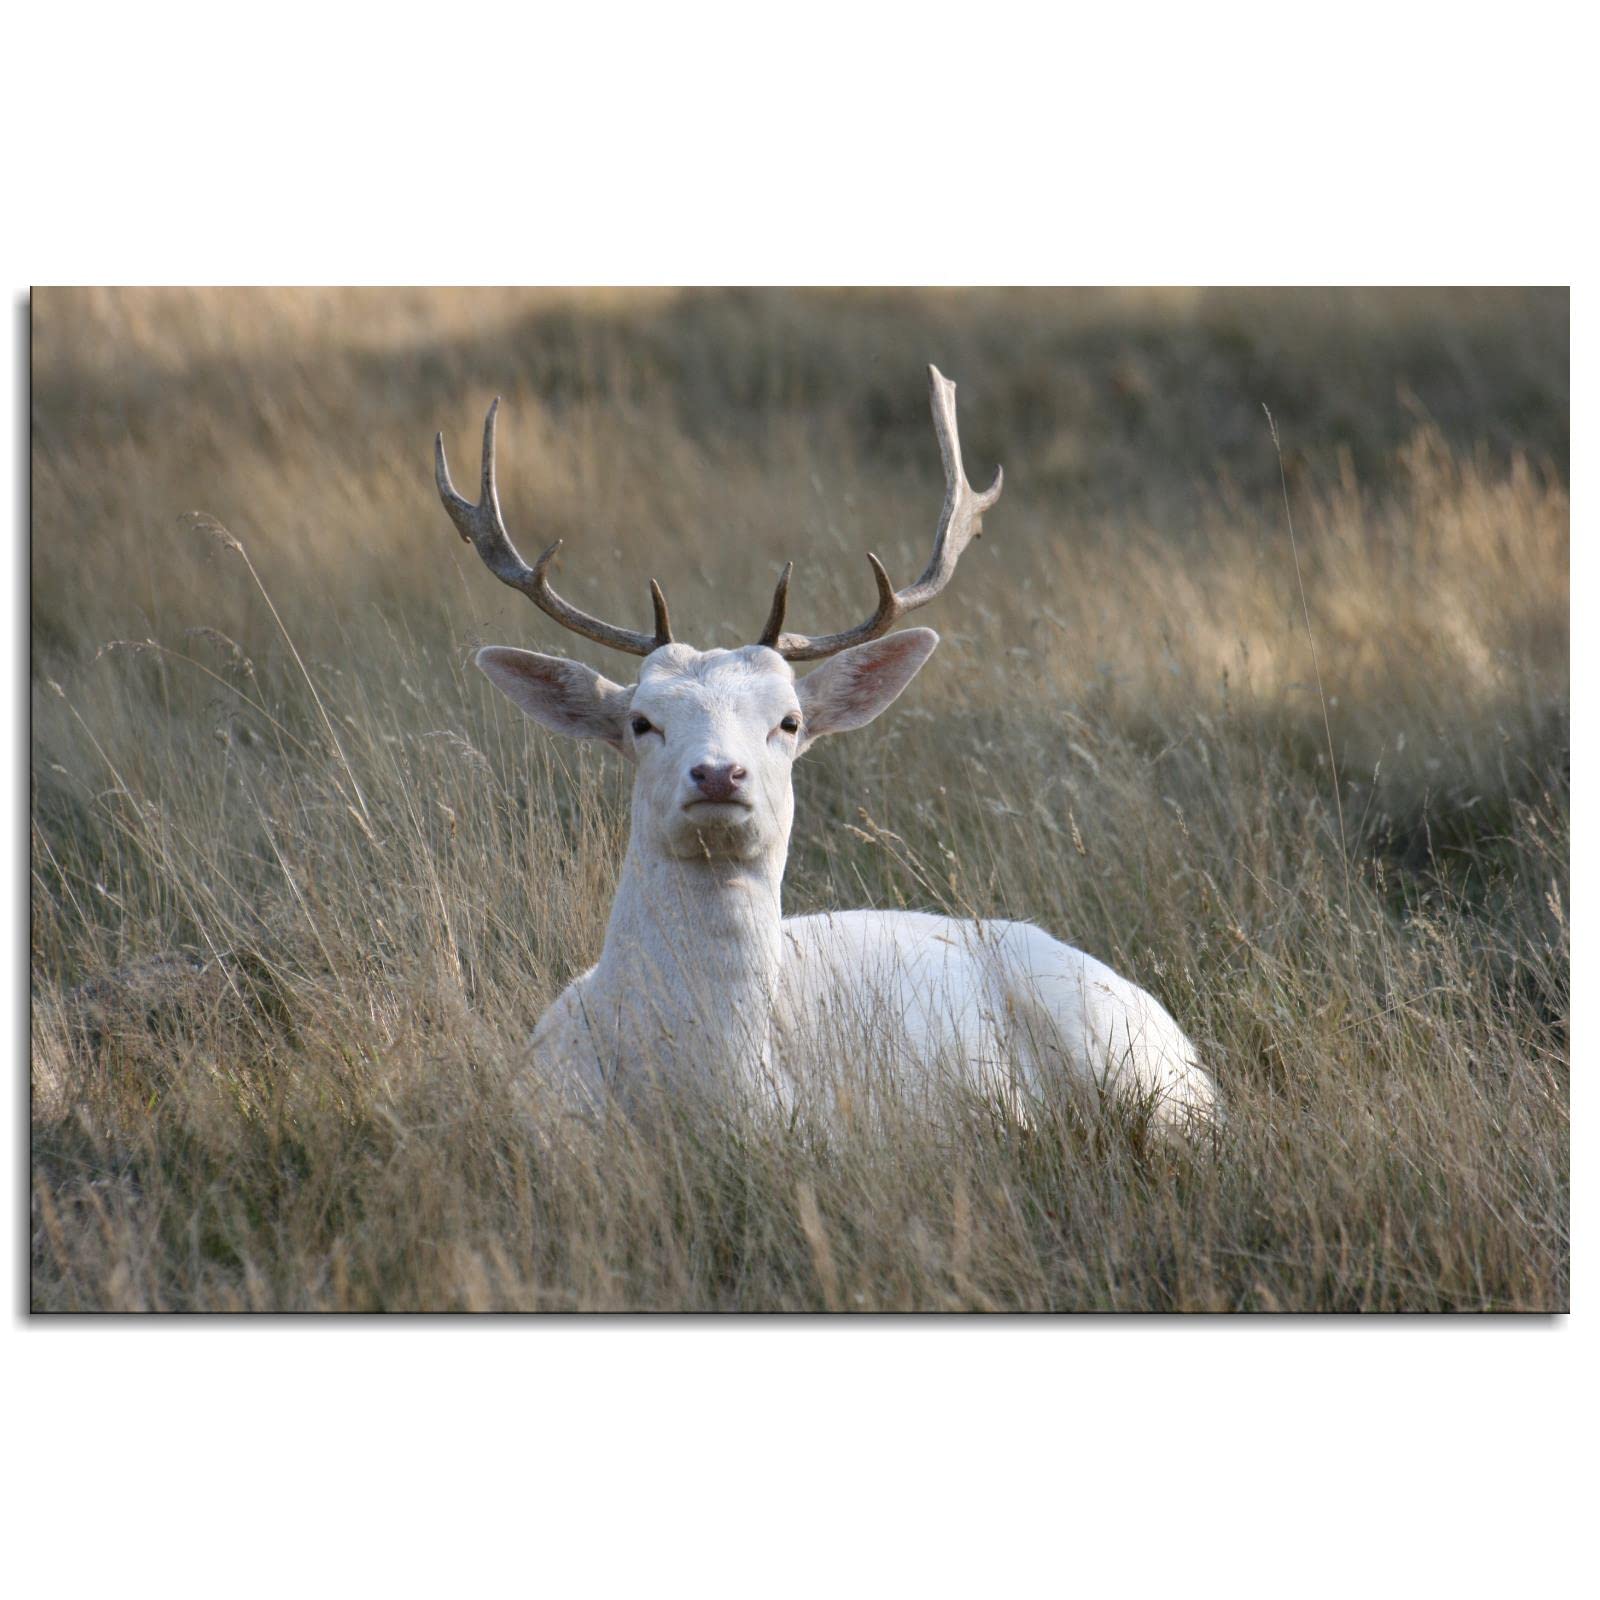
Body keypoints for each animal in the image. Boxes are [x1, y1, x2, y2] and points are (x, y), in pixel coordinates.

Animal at [436, 367, 1218, 1134]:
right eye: (640, 721)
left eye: (788, 722)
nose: (717, 773)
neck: (712, 1094)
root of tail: (1187, 1047)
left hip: (1139, 1067)